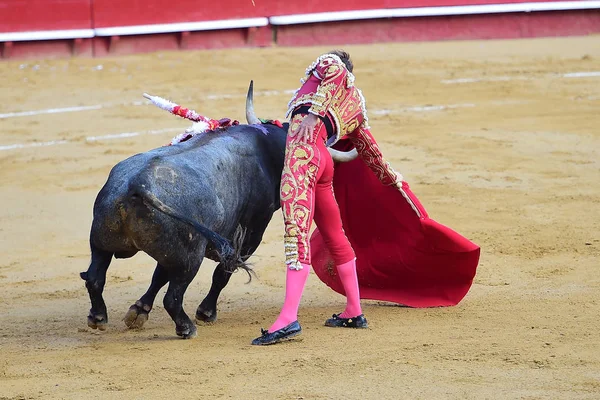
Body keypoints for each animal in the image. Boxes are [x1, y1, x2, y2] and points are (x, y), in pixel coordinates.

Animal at [81, 83, 358, 340]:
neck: (267, 148)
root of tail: (137, 185)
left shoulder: (172, 252)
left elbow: (158, 276)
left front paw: (139, 311)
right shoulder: (250, 234)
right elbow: (221, 275)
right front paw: (206, 312)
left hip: (102, 241)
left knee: (95, 277)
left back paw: (98, 317)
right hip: (190, 256)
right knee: (173, 297)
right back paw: (186, 327)